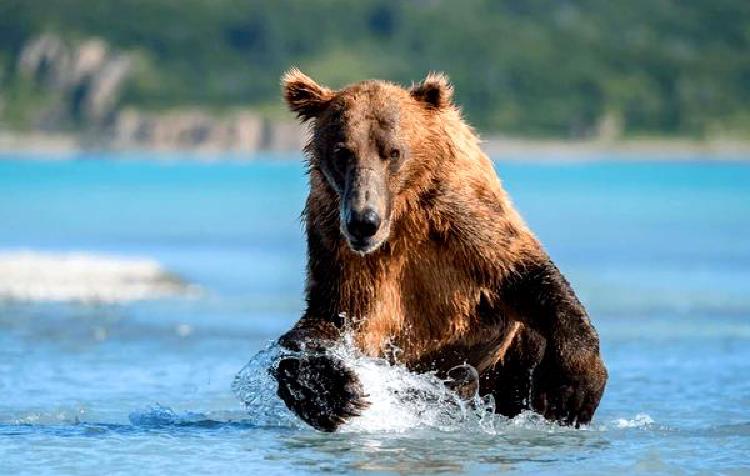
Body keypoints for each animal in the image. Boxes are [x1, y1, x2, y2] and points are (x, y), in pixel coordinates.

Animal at [274, 69, 608, 432]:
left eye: (393, 152)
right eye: (342, 152)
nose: (364, 220)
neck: (402, 216)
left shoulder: (462, 221)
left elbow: (526, 274)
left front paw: (572, 391)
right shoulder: (339, 248)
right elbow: (326, 325)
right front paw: (334, 394)